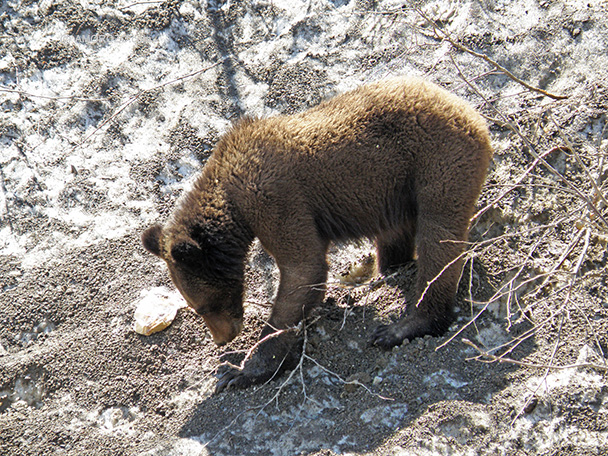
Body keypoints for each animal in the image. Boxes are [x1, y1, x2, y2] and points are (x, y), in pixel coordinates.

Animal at [142, 77, 494, 392]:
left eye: (201, 306)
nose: (222, 338)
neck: (233, 203)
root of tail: (471, 112)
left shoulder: (275, 200)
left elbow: (303, 269)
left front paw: (241, 369)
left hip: (438, 161)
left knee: (440, 239)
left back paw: (402, 326)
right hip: (397, 185)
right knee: (399, 236)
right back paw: (391, 270)